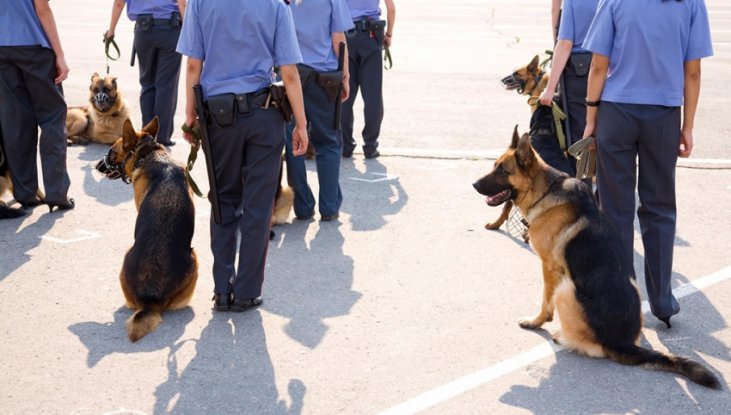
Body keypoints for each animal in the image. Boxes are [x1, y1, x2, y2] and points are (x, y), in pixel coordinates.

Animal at [474, 127, 720, 390]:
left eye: (502, 171)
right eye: (495, 166)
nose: (474, 184)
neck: (545, 190)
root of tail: (623, 344)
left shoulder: (549, 268)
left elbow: (545, 302)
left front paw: (536, 321)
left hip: (566, 289)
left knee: (590, 346)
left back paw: (563, 337)